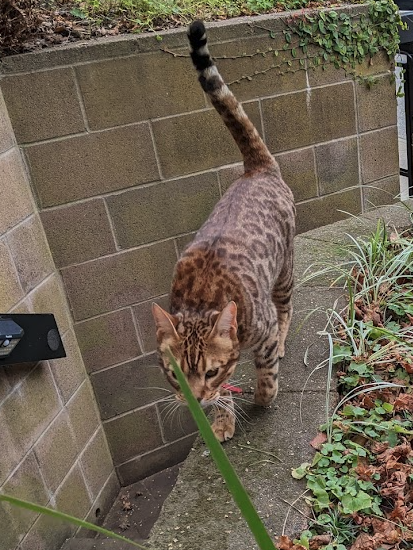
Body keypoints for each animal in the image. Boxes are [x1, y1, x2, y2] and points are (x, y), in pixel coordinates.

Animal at [153, 20, 294, 444]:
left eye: (211, 371)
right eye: (176, 376)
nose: (196, 400)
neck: (200, 299)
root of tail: (256, 168)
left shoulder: (261, 329)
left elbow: (264, 374)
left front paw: (263, 397)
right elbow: (226, 397)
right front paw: (222, 419)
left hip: (283, 272)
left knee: (287, 309)